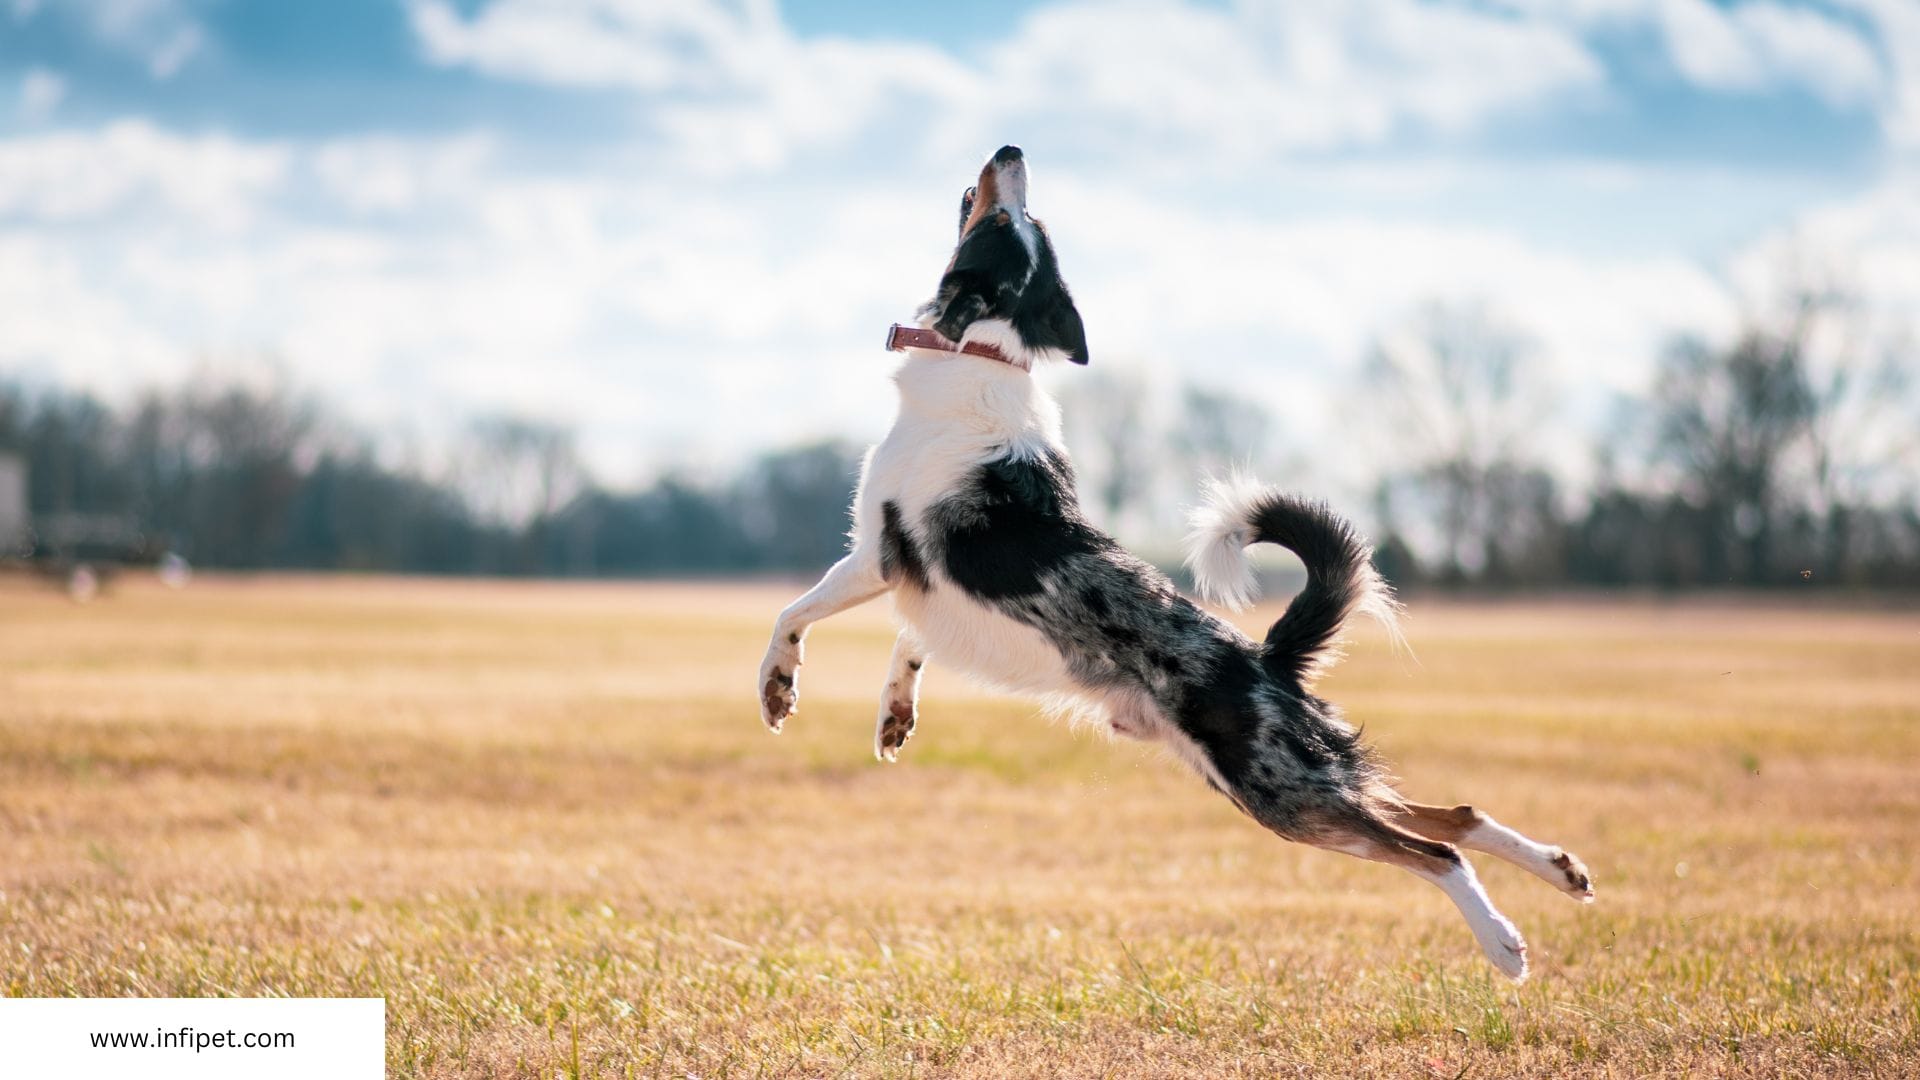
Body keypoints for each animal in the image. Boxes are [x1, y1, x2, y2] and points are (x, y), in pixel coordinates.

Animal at [756, 143, 1597, 976]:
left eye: (1008, 221)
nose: (1011, 150)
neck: (984, 347)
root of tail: (1267, 658)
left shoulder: (877, 555)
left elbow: (794, 613)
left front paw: (778, 689)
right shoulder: (929, 591)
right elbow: (911, 642)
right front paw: (895, 714)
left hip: (1280, 793)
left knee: (1434, 851)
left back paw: (1504, 943)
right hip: (1287, 778)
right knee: (1453, 813)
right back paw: (1561, 869)